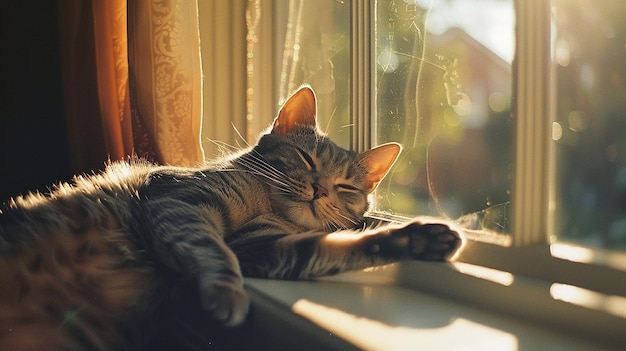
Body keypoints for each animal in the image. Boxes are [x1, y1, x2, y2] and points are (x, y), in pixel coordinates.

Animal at [0, 86, 458, 351]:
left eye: (346, 186)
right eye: (306, 158)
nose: (321, 189)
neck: (265, 205)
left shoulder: (263, 247)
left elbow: (339, 247)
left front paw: (422, 238)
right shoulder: (180, 202)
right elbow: (212, 249)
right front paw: (226, 292)